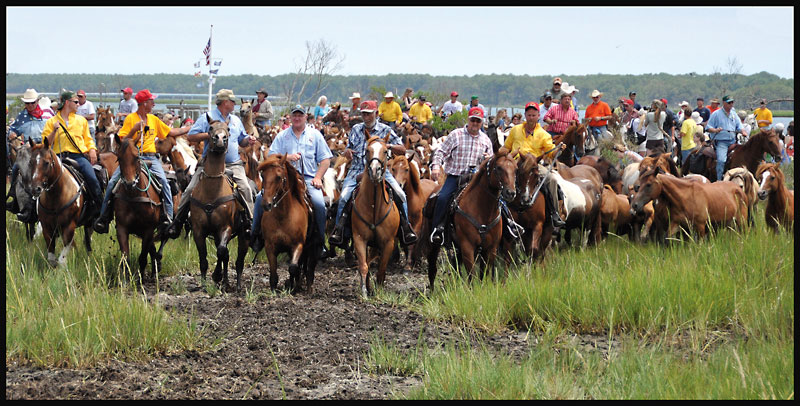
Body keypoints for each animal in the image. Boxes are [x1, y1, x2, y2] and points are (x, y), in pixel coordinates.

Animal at [188, 117, 248, 292]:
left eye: (228, 129)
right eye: (210, 128)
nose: (221, 139)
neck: (212, 191)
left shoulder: (224, 227)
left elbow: (222, 251)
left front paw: (217, 275)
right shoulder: (199, 230)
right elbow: (203, 257)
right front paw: (203, 283)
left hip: (244, 235)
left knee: (238, 259)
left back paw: (237, 285)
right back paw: (225, 281)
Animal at [256, 154, 318, 294]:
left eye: (278, 177)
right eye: (263, 176)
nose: (266, 204)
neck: (283, 216)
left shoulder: (298, 245)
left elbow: (293, 268)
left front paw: (292, 287)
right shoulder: (270, 246)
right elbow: (274, 273)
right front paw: (275, 289)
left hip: (311, 247)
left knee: (309, 267)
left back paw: (308, 288)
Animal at [350, 135, 400, 296]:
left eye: (385, 151)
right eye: (367, 150)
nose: (374, 170)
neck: (374, 208)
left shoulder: (388, 242)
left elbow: (381, 269)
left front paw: (380, 290)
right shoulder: (359, 238)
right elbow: (364, 265)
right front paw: (365, 292)